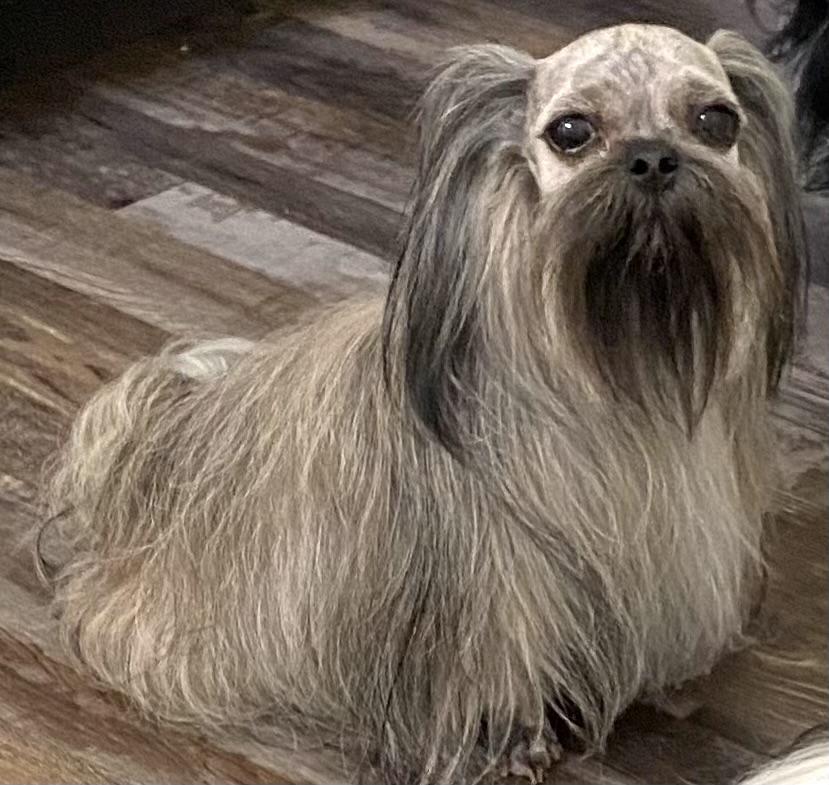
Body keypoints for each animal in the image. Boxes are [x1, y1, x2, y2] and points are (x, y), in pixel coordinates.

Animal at [41, 23, 807, 784]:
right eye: (571, 132)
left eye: (715, 121)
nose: (653, 158)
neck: (618, 350)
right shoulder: (496, 573)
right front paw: (512, 740)